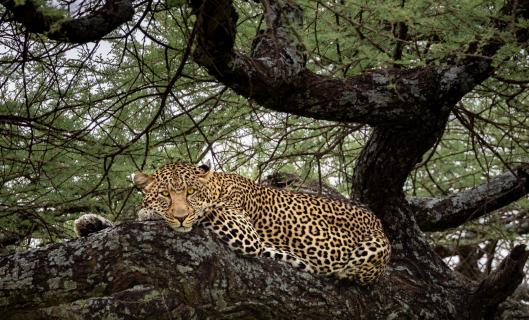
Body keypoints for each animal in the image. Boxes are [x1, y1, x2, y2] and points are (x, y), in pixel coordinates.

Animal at [128, 161, 390, 284]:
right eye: (165, 194)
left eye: (191, 191)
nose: (181, 217)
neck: (218, 186)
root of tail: (379, 224)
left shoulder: (243, 230)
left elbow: (206, 210)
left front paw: (148, 211)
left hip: (374, 249)